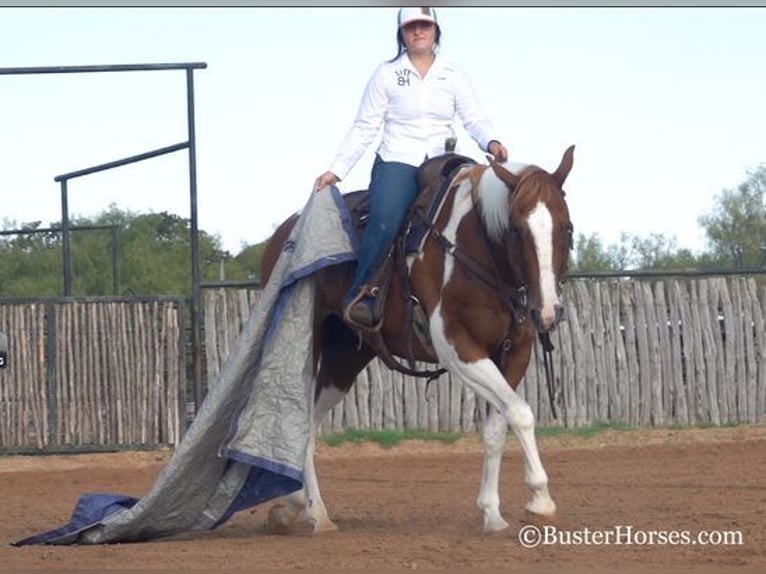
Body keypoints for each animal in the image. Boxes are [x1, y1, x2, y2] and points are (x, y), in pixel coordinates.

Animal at [260, 145, 576, 536]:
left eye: (566, 227)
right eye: (516, 230)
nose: (547, 311)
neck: (476, 248)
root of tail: (282, 235)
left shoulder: (515, 352)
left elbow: (497, 426)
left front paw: (492, 513)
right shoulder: (458, 348)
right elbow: (520, 413)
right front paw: (541, 501)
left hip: (345, 357)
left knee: (310, 420)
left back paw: (307, 510)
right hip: (305, 341)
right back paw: (303, 510)